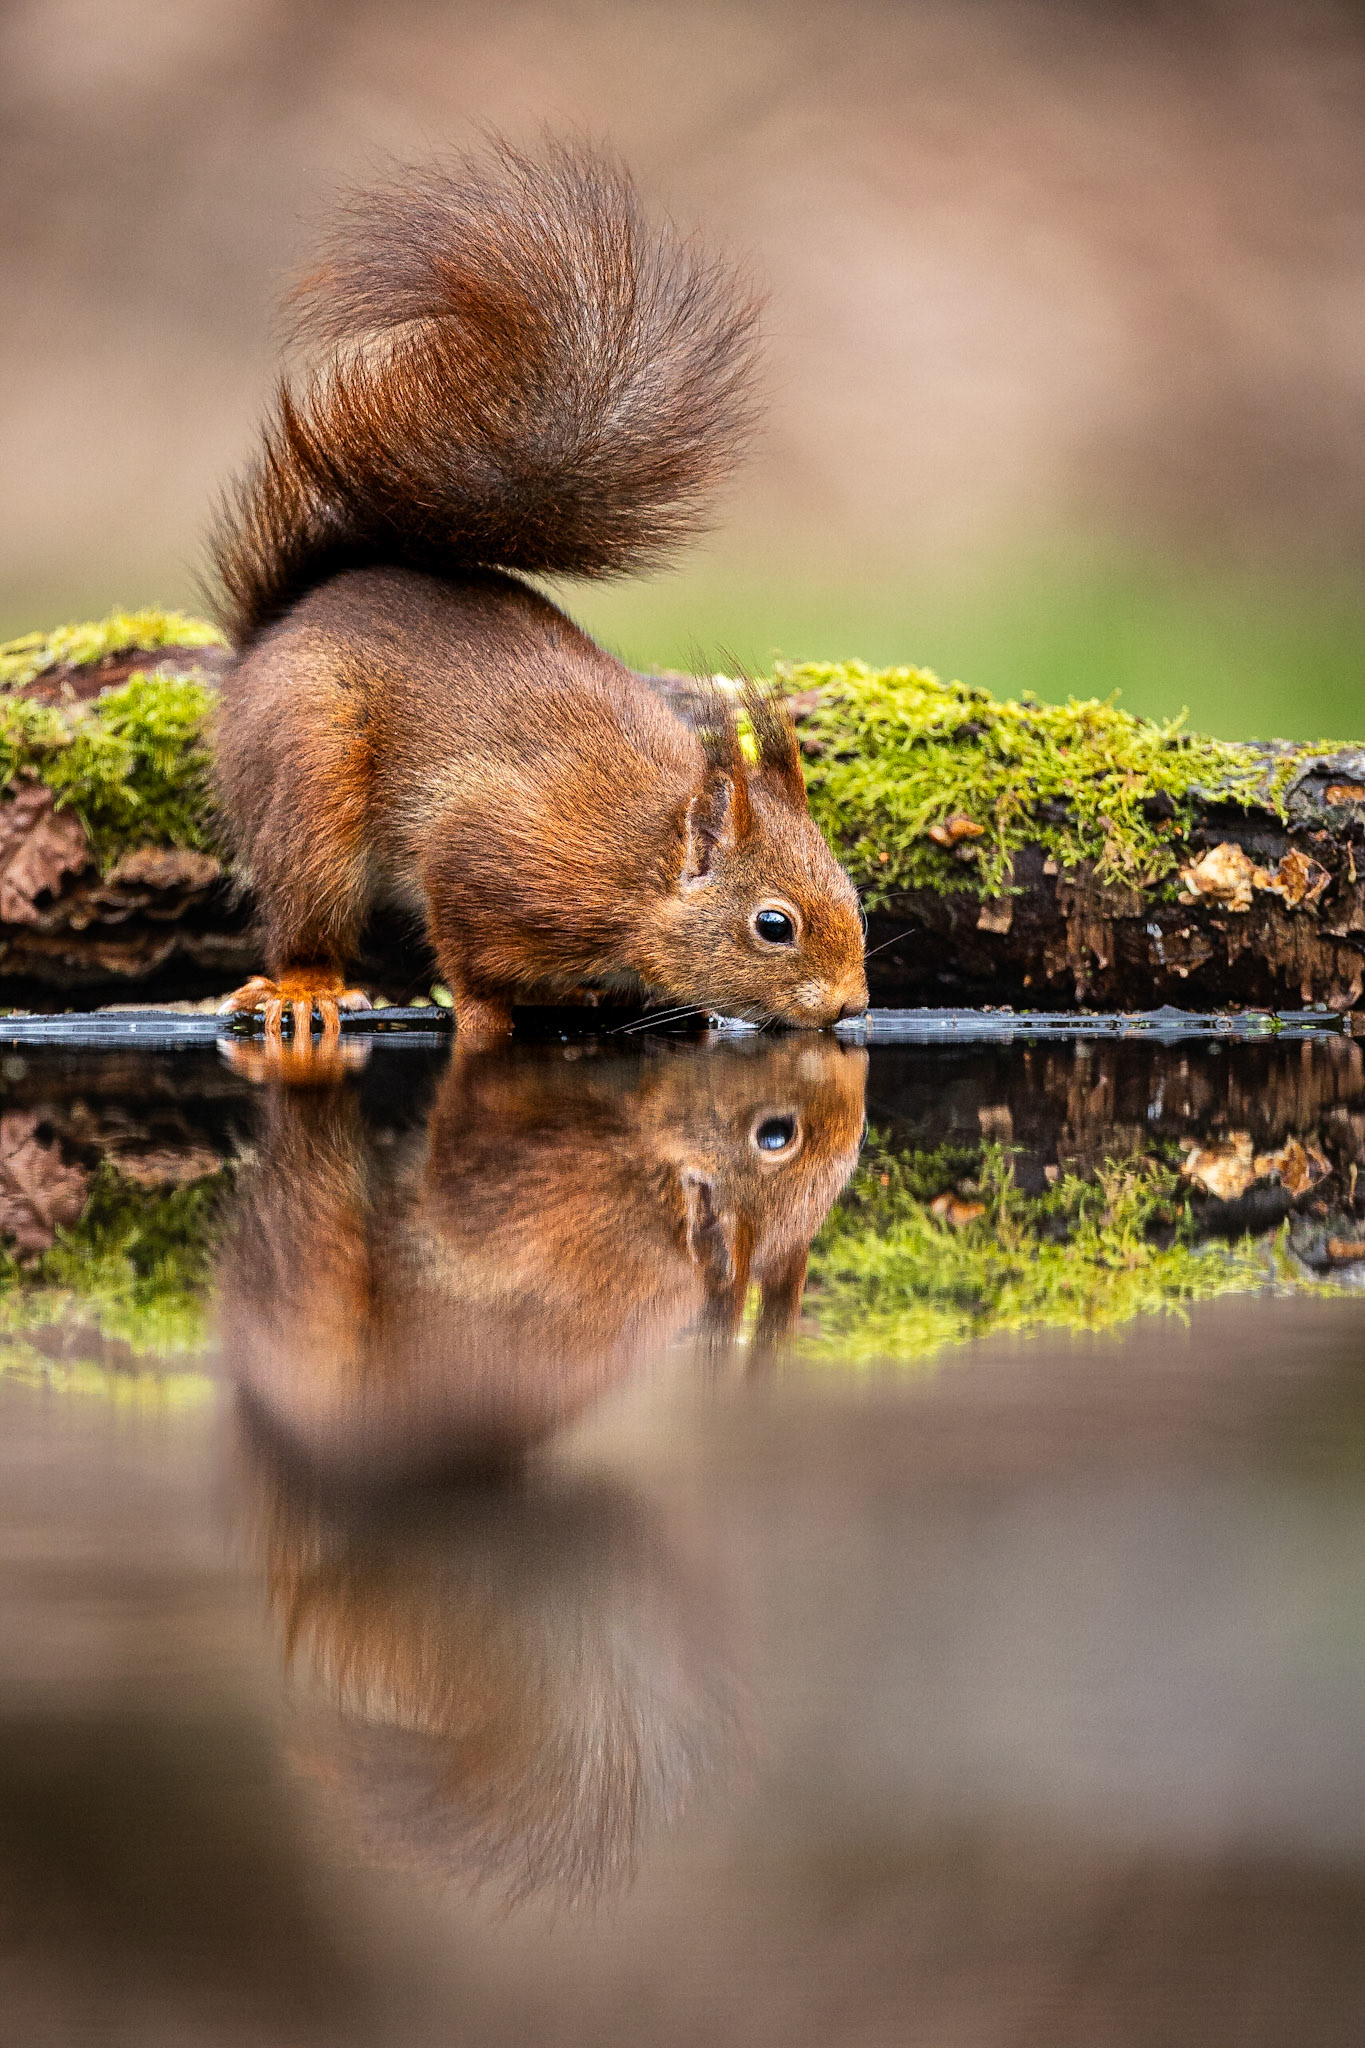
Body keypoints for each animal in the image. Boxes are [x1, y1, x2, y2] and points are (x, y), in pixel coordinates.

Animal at [208, 139, 868, 1048]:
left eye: (854, 899)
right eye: (774, 925)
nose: (850, 1005)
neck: (637, 868)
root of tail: (277, 627)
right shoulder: (485, 856)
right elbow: (467, 960)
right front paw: (486, 1020)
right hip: (310, 775)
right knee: (307, 903)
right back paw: (307, 986)